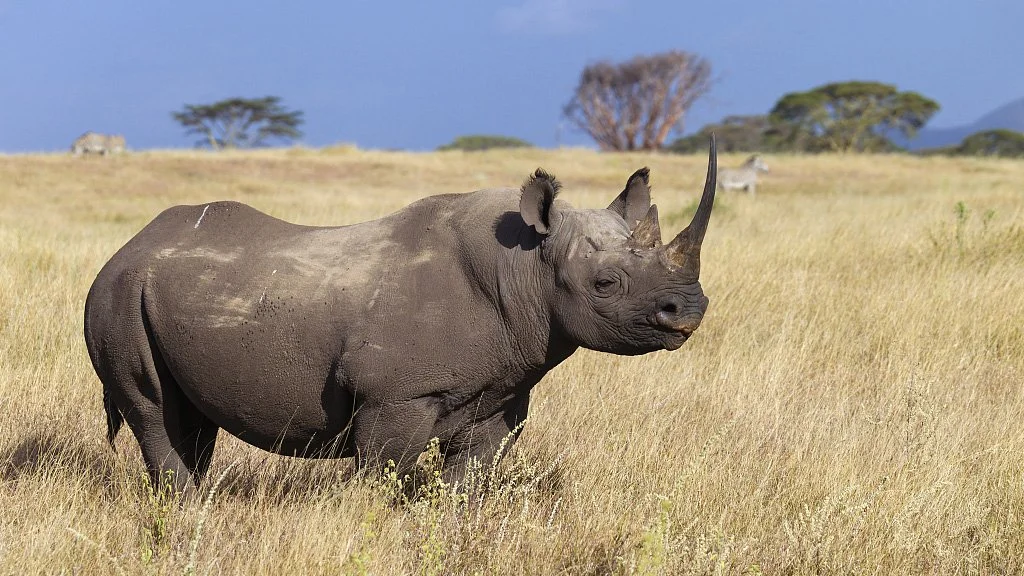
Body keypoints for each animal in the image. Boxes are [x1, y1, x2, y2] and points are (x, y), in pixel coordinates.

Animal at [84, 136, 719, 495]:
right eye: (606, 284)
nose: (689, 310)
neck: (525, 266)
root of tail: (126, 246)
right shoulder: (396, 398)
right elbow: (387, 483)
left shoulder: (501, 392)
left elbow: (467, 483)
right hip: (115, 294)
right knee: (153, 407)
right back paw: (185, 509)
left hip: (159, 294)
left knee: (192, 418)